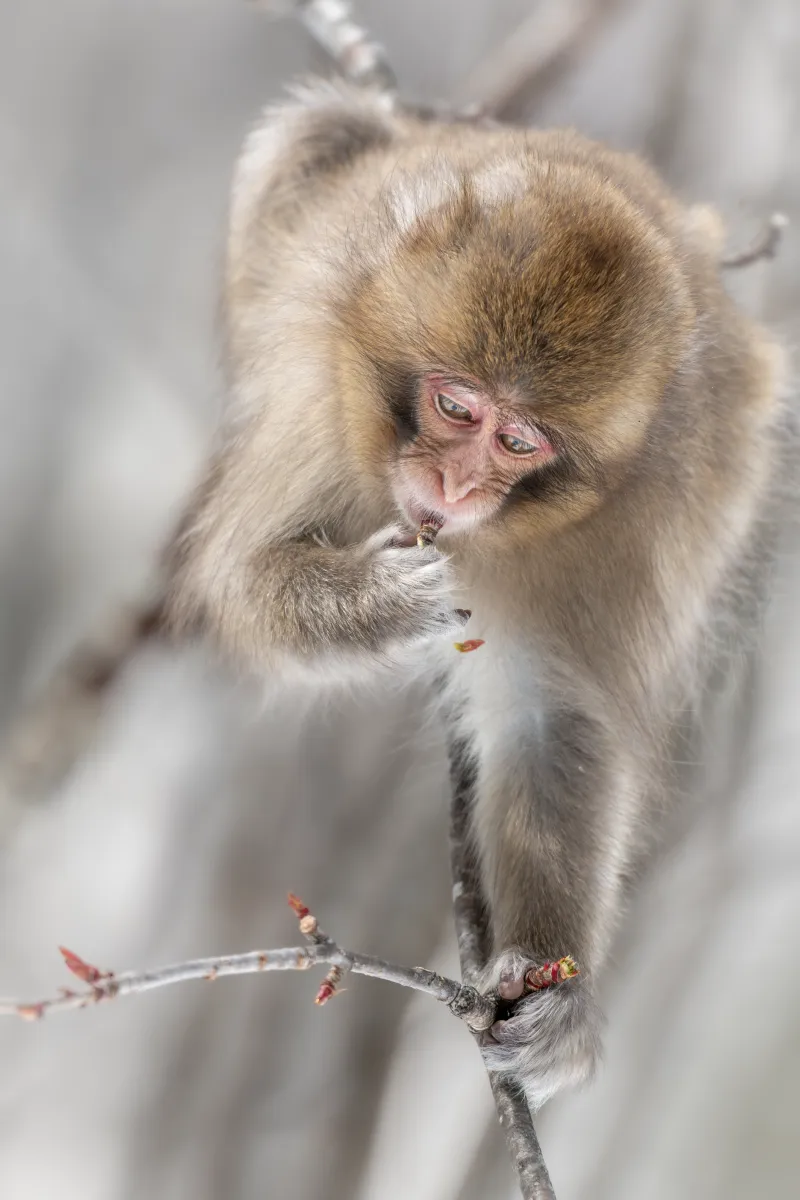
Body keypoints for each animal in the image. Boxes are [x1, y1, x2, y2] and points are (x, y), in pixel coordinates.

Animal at [165, 79, 789, 1110]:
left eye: (518, 441)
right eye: (457, 407)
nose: (454, 487)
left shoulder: (636, 522)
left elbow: (551, 716)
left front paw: (555, 998)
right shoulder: (321, 400)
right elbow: (244, 579)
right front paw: (375, 606)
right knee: (323, 124)